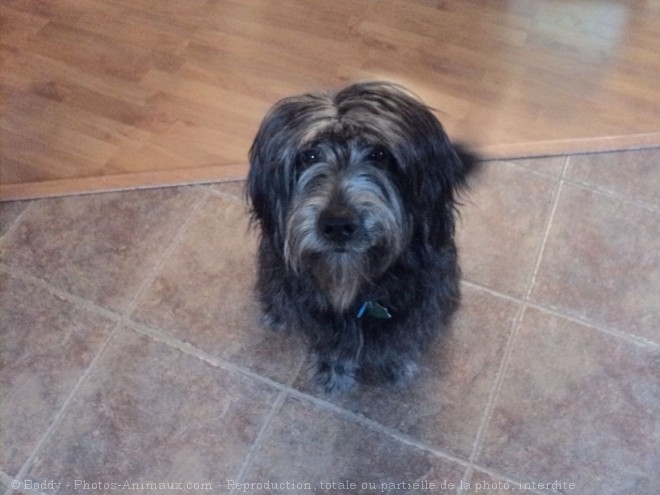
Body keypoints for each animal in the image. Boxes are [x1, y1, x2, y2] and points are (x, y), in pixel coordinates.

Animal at [245, 81, 476, 394]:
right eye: (309, 155)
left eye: (379, 154)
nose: (337, 225)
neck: (356, 282)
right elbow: (331, 345)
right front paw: (334, 372)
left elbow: (403, 338)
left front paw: (396, 364)